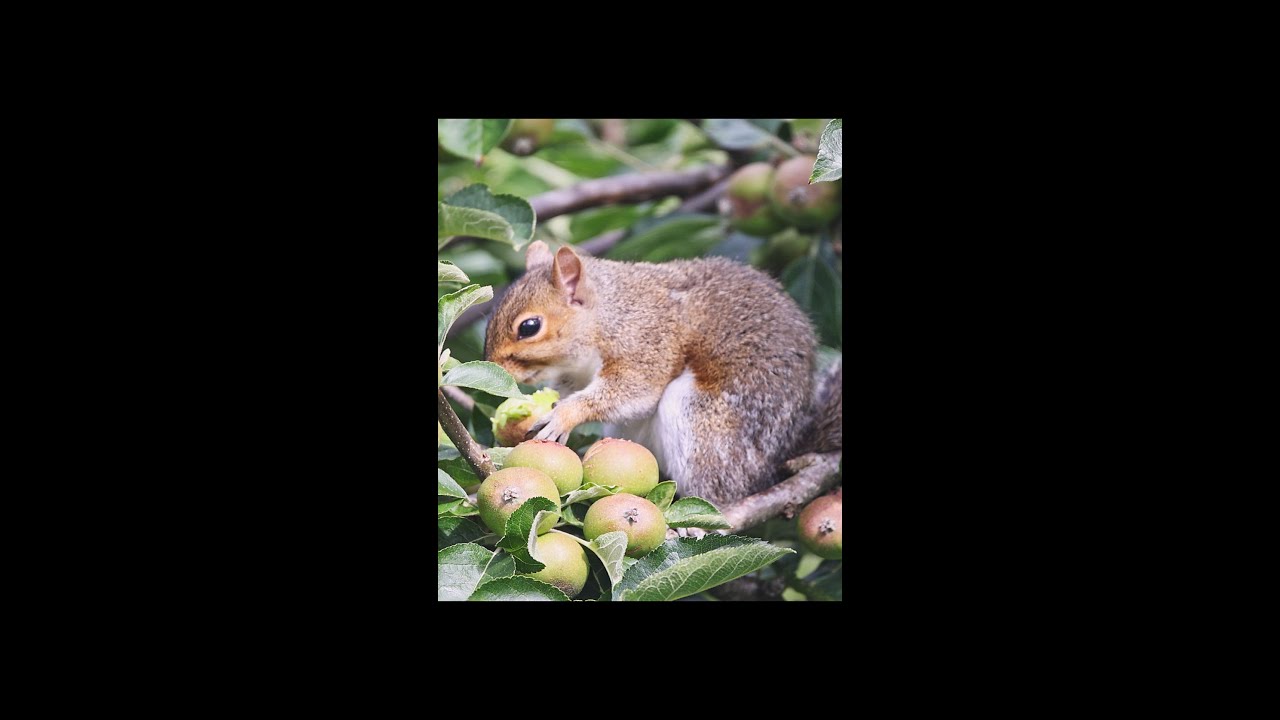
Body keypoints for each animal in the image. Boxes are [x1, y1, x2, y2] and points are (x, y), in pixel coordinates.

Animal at [484, 241, 841, 507]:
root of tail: (779, 460)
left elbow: (633, 390)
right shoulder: (576, 375)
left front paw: (564, 415)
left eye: (529, 327)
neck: (609, 315)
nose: (493, 366)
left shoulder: (647, 343)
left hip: (705, 425)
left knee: (719, 489)